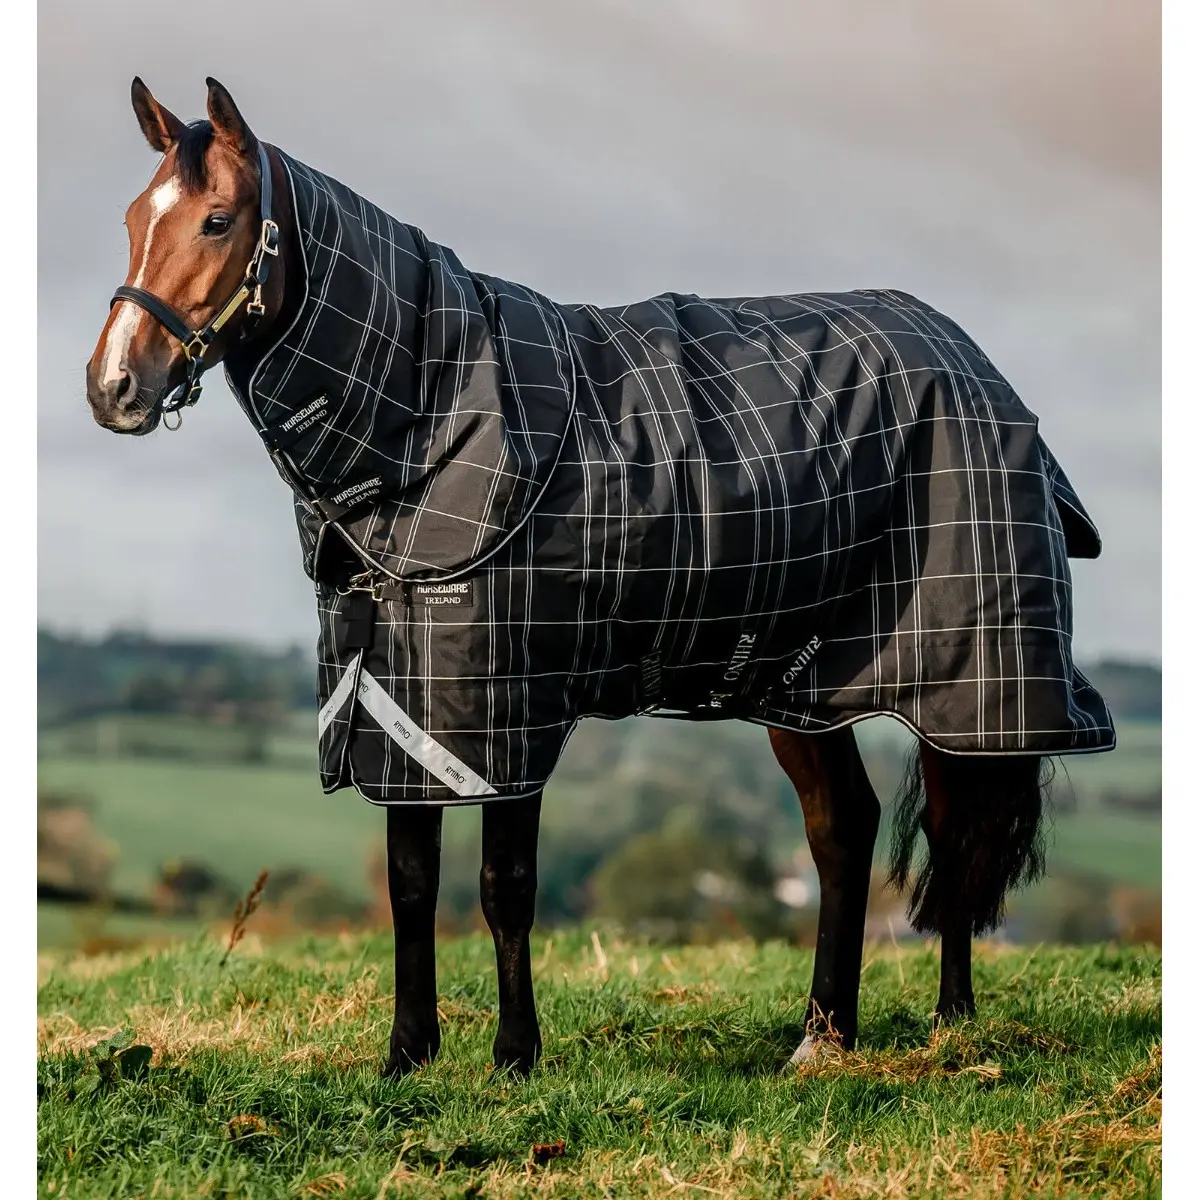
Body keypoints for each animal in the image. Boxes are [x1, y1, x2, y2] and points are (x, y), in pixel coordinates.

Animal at [85, 78, 1111, 1077]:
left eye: (218, 221)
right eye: (133, 217)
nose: (112, 388)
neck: (433, 414)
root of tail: (969, 359)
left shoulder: (504, 708)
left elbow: (503, 886)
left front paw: (514, 1058)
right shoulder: (401, 698)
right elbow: (412, 883)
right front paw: (406, 1060)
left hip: (968, 672)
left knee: (956, 832)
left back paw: (952, 1030)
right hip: (798, 679)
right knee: (845, 829)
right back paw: (823, 1038)